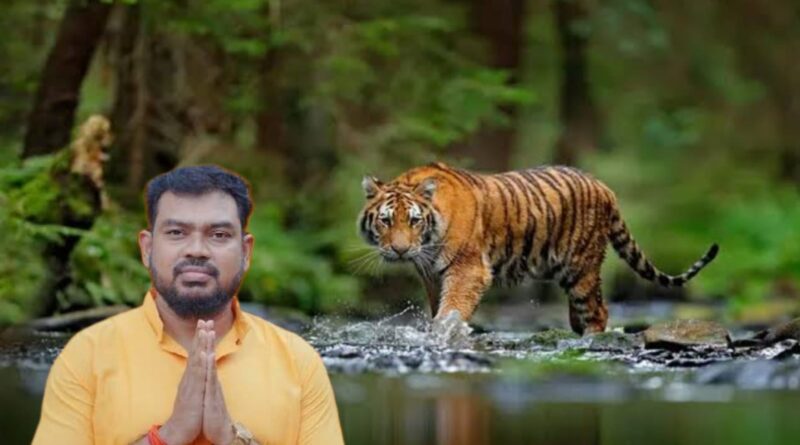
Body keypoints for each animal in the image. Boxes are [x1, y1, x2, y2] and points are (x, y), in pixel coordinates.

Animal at [357, 162, 719, 335]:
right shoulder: (432, 275)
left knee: (598, 311)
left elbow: (452, 310)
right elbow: (438, 307)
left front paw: (445, 334)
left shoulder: (468, 269)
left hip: (581, 269)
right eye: (386, 221)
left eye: (414, 221)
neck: (429, 244)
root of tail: (604, 186)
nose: (400, 250)